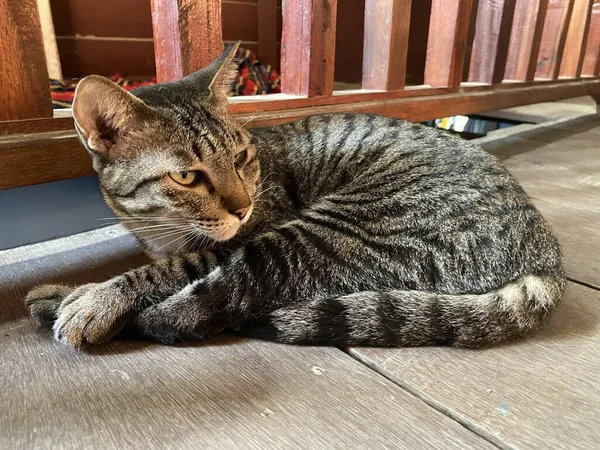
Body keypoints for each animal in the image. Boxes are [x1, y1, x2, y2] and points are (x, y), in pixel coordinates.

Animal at [25, 44, 564, 348]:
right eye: (186, 177)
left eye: (241, 157)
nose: (243, 206)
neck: (159, 228)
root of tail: (546, 258)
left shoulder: (235, 239)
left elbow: (166, 270)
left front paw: (94, 298)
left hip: (326, 231)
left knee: (221, 300)